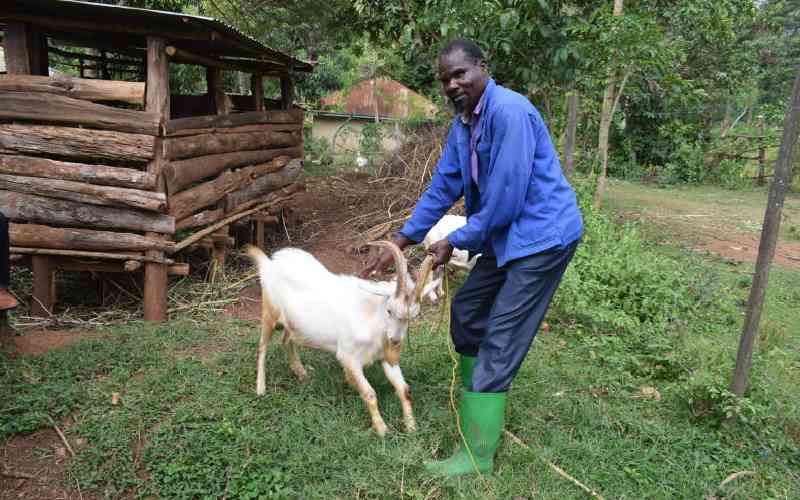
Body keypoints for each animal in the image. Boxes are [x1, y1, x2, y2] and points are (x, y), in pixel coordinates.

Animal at [245, 242, 434, 438]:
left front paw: (411, 426)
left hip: (293, 323)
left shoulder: (386, 356)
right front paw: (381, 429)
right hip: (269, 312)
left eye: (413, 316)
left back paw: (301, 373)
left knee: (287, 339)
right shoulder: (348, 357)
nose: (396, 341)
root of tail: (271, 262)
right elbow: (369, 393)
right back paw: (261, 388)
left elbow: (404, 390)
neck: (371, 319)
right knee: (262, 347)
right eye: (389, 310)